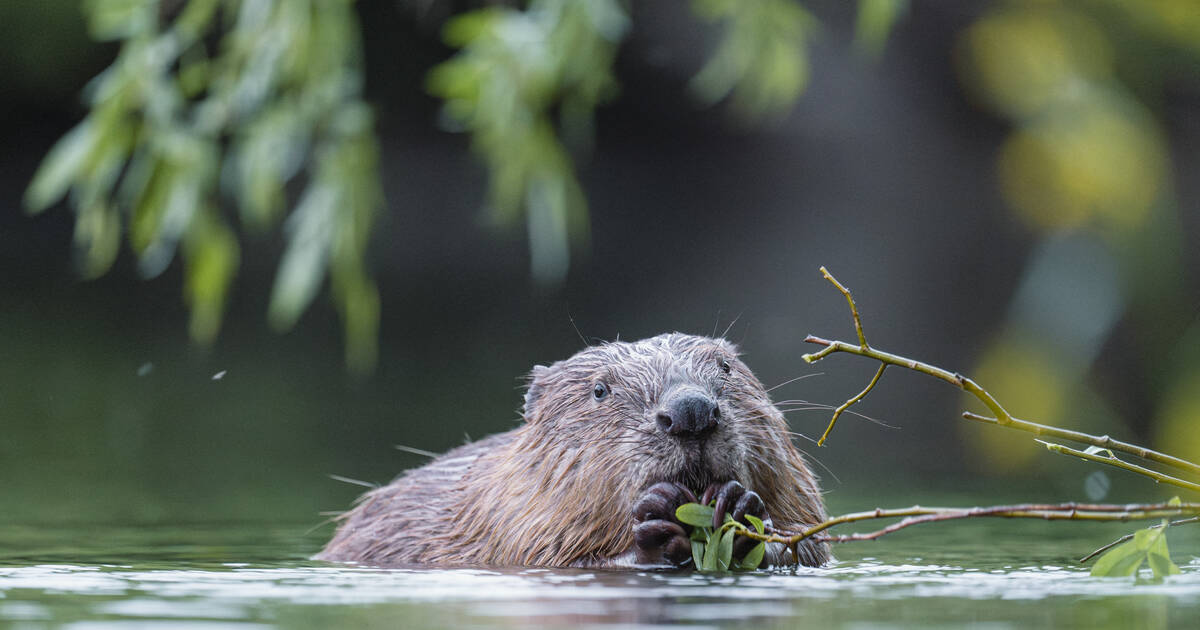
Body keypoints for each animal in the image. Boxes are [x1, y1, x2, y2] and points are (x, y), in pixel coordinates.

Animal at [314, 331, 830, 566]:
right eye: (600, 390)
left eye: (725, 367)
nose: (690, 411)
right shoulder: (505, 523)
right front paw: (657, 524)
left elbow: (810, 543)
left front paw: (739, 509)